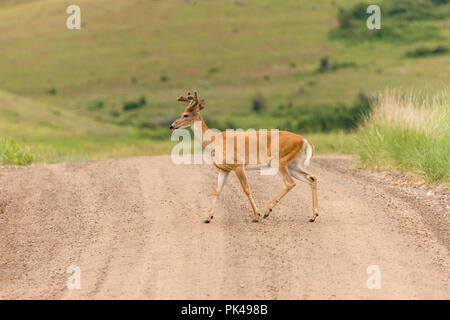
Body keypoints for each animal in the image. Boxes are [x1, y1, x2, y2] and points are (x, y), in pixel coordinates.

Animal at [170, 91, 320, 224]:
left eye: (185, 114)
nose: (172, 125)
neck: (214, 141)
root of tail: (302, 139)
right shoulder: (223, 169)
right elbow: (217, 191)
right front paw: (207, 218)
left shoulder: (238, 165)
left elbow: (246, 189)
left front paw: (256, 216)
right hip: (293, 164)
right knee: (311, 178)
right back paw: (313, 216)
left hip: (280, 161)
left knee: (290, 183)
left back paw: (267, 211)